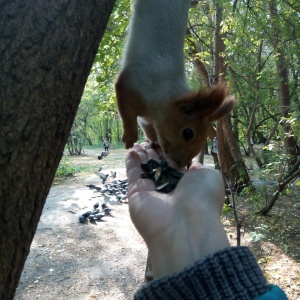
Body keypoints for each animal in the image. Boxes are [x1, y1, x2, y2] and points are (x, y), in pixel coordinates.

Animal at [116, 0, 236, 166]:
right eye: (187, 133)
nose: (183, 163)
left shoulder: (149, 120)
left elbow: (149, 129)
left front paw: (154, 141)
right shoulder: (134, 81)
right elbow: (126, 110)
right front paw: (129, 137)